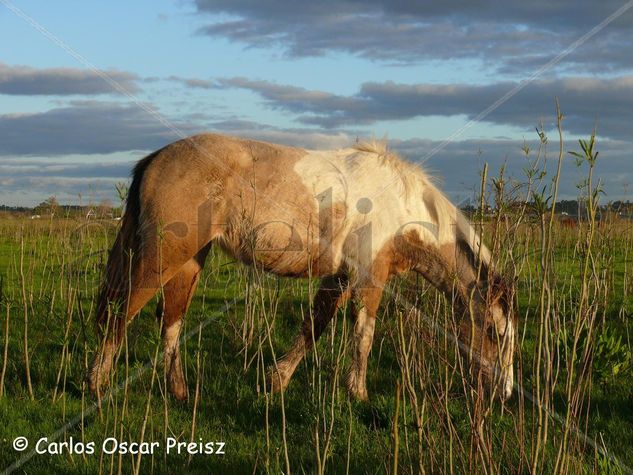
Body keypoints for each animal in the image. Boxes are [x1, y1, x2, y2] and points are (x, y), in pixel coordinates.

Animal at [87, 133, 512, 402]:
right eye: (495, 332)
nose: (504, 394)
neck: (402, 206)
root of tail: (155, 158)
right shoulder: (369, 278)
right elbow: (364, 335)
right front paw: (358, 393)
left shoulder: (340, 278)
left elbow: (313, 327)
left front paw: (277, 381)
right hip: (162, 257)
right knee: (120, 312)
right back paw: (97, 384)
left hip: (190, 261)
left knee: (171, 320)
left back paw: (179, 392)